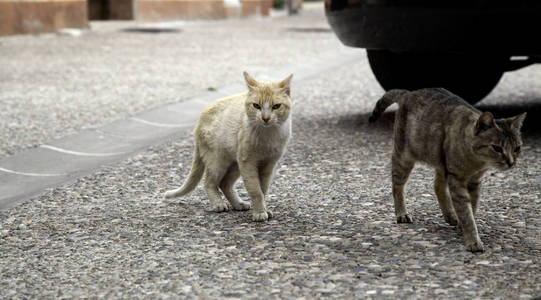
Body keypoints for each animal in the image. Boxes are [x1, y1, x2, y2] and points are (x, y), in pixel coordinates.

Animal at [163, 72, 292, 223]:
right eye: (256, 106)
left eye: (276, 106)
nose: (265, 118)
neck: (267, 136)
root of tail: (199, 120)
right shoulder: (248, 163)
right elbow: (255, 190)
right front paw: (259, 213)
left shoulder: (268, 165)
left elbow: (263, 190)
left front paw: (264, 209)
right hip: (219, 161)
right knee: (209, 182)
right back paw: (218, 204)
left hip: (234, 163)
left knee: (224, 184)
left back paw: (238, 204)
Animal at [370, 88, 524, 252]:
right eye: (497, 148)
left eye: (517, 148)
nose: (511, 162)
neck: (476, 162)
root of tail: (408, 93)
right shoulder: (457, 180)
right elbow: (466, 213)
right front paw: (473, 240)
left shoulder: (474, 182)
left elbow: (472, 207)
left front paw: (465, 227)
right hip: (404, 158)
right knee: (397, 186)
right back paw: (401, 213)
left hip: (441, 163)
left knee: (437, 186)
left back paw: (450, 215)